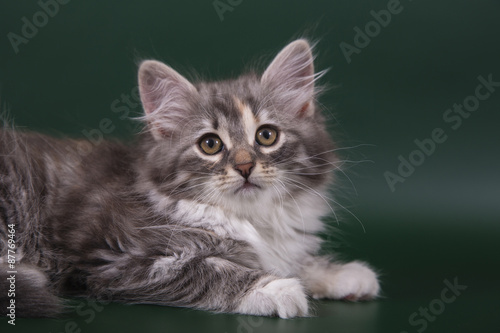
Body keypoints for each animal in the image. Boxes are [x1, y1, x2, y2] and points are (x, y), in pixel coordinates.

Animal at [0, 39, 376, 316]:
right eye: (210, 144)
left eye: (267, 136)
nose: (244, 166)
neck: (252, 218)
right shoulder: (120, 259)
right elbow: (211, 270)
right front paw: (276, 288)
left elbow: (292, 259)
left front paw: (339, 273)